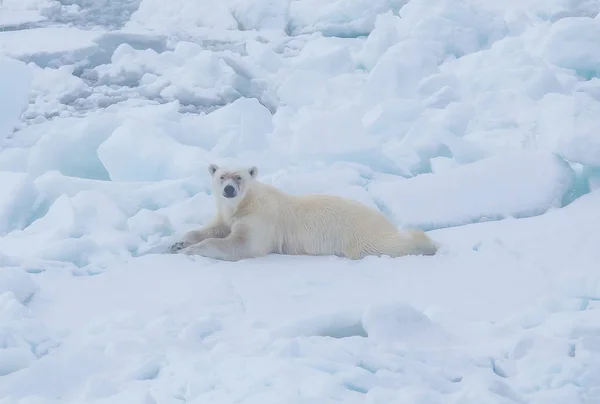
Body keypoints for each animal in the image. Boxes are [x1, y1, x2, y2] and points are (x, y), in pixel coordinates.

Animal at [171, 164, 438, 262]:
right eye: (221, 176)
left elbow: (242, 244)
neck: (244, 203)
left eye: (239, 177)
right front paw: (178, 242)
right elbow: (213, 227)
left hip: (361, 236)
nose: (228, 190)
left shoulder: (260, 219)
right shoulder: (228, 215)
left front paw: (188, 250)